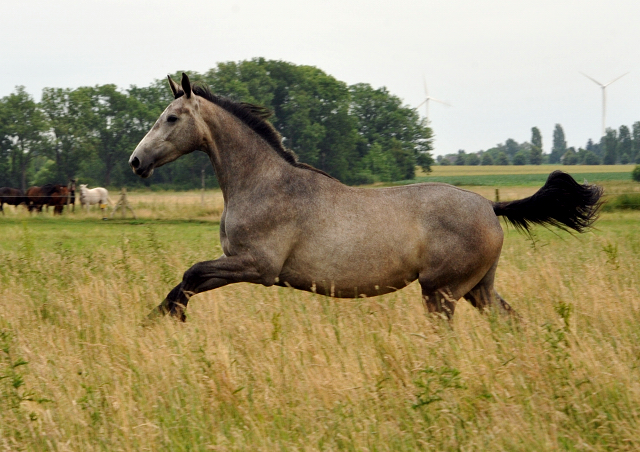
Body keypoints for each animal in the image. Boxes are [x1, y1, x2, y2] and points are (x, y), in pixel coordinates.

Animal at [129, 73, 600, 322]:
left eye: (171, 118)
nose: (136, 161)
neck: (263, 184)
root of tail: (490, 205)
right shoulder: (239, 265)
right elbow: (187, 281)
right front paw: (159, 319)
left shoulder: (257, 266)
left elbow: (190, 274)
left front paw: (165, 319)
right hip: (478, 288)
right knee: (510, 322)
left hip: (442, 292)